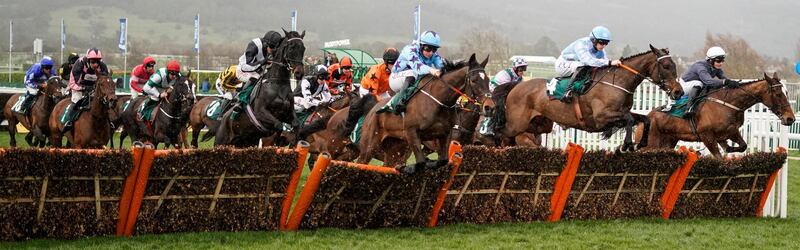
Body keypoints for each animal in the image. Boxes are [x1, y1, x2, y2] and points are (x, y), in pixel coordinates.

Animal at [358, 54, 494, 168]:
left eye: (488, 80)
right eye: (474, 80)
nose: (490, 107)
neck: (438, 100)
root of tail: (372, 110)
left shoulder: (445, 135)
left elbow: (443, 160)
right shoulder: (411, 133)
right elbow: (421, 162)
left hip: (396, 148)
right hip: (369, 146)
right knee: (360, 162)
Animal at [500, 44, 680, 150]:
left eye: (674, 65)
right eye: (666, 66)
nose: (678, 91)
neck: (617, 82)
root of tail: (516, 86)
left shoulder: (620, 113)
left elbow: (644, 119)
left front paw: (640, 143)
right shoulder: (601, 117)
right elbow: (629, 120)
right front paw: (627, 144)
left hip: (538, 125)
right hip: (517, 123)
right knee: (501, 133)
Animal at [636, 73, 792, 158]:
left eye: (787, 93)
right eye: (778, 94)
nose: (790, 118)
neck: (728, 103)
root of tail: (646, 117)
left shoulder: (731, 131)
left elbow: (742, 146)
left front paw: (729, 148)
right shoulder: (707, 136)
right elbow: (718, 156)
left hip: (668, 142)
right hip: (650, 145)